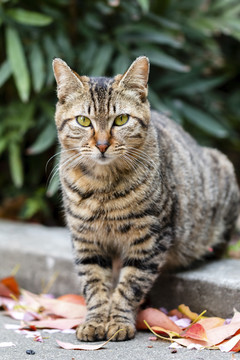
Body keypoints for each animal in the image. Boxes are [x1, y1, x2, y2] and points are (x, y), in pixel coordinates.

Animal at [52, 56, 240, 340]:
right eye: (84, 121)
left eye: (121, 119)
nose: (102, 145)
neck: (103, 186)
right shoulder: (87, 240)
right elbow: (94, 284)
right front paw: (94, 321)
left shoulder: (149, 239)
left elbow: (130, 284)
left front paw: (118, 322)